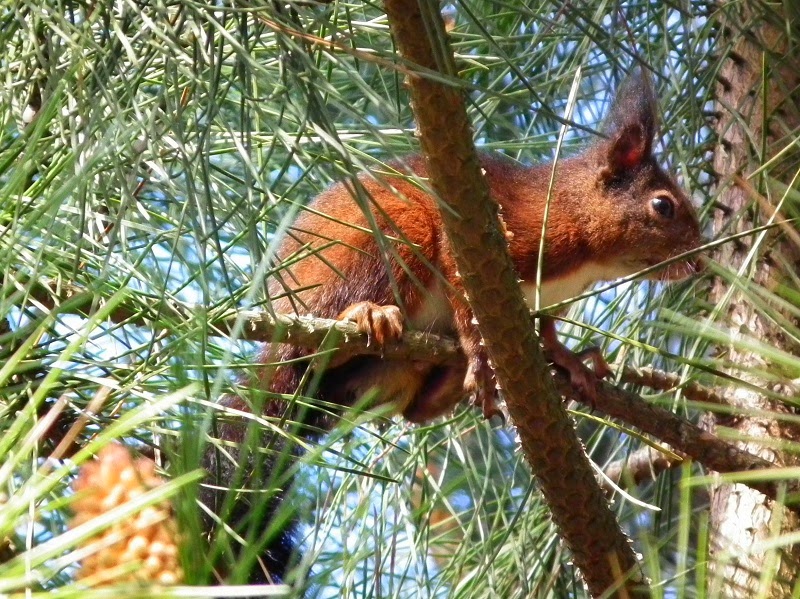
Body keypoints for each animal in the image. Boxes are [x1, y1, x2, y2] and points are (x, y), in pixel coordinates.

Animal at [200, 68, 700, 584]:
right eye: (664, 206)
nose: (700, 263)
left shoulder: (550, 303)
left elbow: (547, 331)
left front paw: (571, 361)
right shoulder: (488, 243)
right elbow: (466, 301)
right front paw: (480, 355)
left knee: (412, 411)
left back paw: (444, 382)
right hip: (390, 238)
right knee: (322, 343)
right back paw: (364, 318)